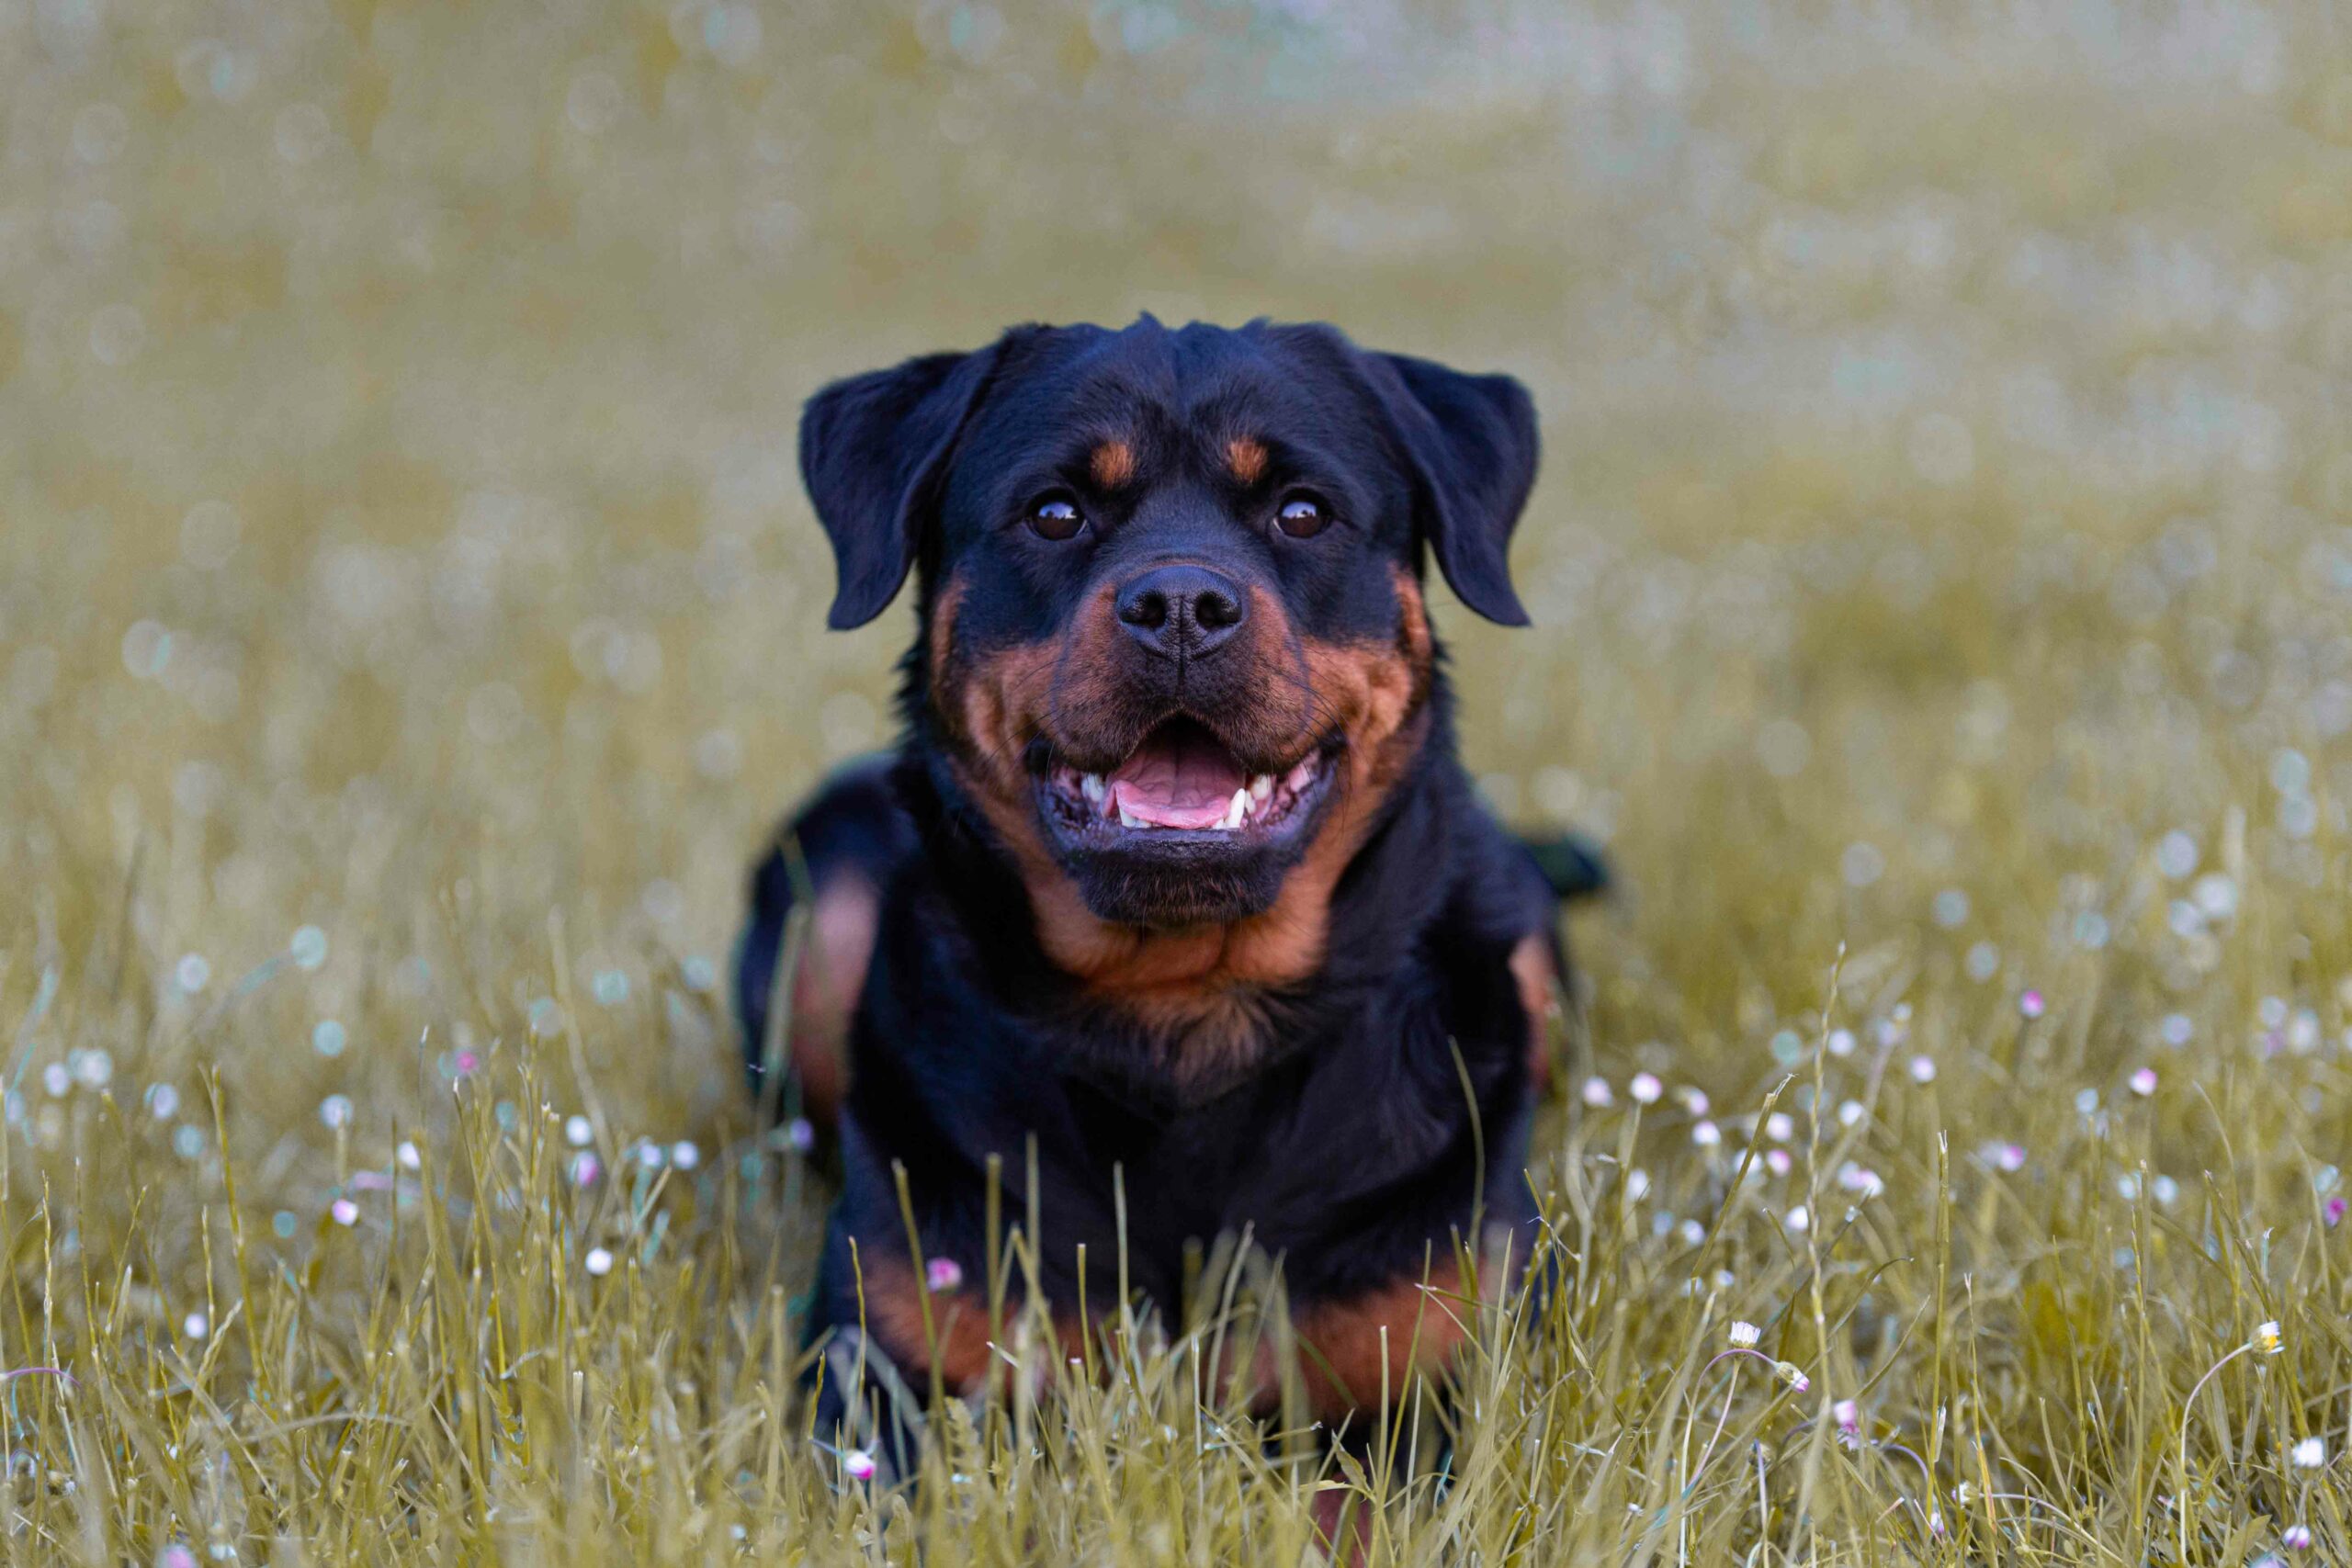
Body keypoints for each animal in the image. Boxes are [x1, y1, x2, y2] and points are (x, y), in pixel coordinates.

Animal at [734, 317, 1599, 1470]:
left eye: (1301, 512)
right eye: (1055, 513)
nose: (1180, 604)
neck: (1184, 1006)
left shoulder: (1420, 1381)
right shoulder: (896, 1376)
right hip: (822, 900)